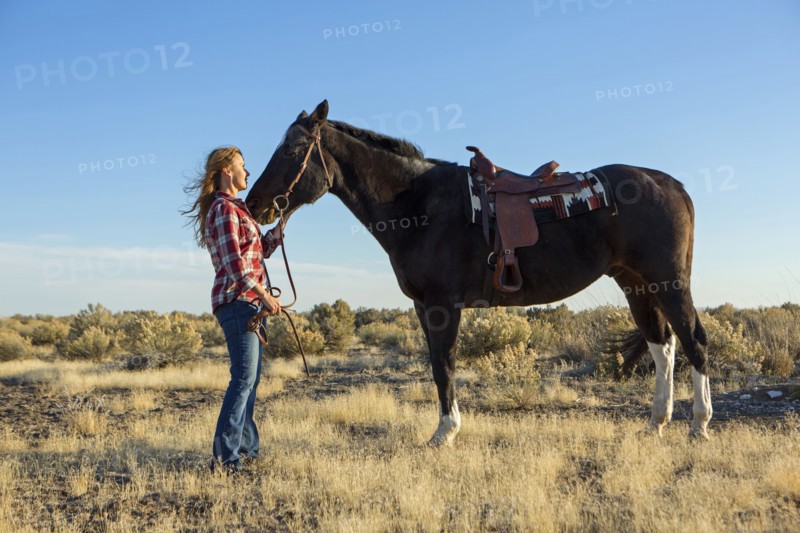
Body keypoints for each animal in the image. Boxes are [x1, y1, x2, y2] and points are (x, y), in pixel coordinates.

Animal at [245, 100, 712, 445]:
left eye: (291, 150)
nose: (255, 204)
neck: (416, 203)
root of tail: (671, 184)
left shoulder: (441, 306)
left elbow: (444, 364)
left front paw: (445, 433)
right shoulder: (423, 306)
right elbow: (438, 364)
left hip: (669, 283)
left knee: (693, 340)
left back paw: (699, 424)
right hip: (637, 285)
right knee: (662, 346)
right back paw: (656, 422)